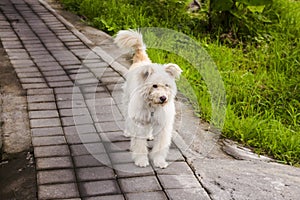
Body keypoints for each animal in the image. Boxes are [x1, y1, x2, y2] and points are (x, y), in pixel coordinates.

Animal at [114, 29, 180, 168]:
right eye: (154, 85)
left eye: (166, 85)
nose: (163, 98)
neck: (153, 106)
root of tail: (141, 60)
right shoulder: (139, 121)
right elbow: (139, 144)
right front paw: (141, 161)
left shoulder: (162, 123)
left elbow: (160, 146)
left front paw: (159, 161)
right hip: (127, 103)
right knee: (127, 119)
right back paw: (128, 131)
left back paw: (149, 136)